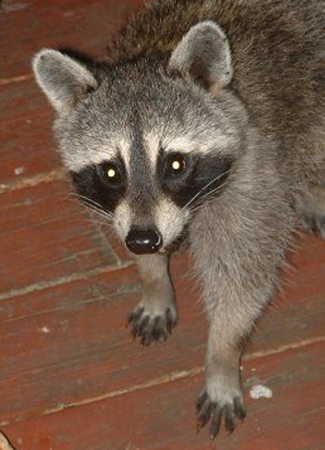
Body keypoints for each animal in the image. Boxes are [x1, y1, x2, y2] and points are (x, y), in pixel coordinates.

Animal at [33, 0, 324, 440]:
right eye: (111, 172)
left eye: (174, 164)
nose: (144, 241)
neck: (156, 44)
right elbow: (132, 229)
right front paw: (152, 275)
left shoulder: (254, 171)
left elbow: (242, 278)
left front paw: (222, 355)